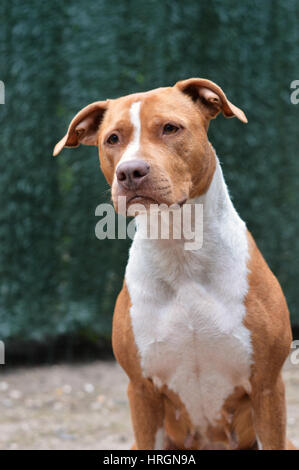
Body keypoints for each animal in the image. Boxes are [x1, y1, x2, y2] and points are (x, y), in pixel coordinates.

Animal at [54, 79, 296, 450]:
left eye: (170, 128)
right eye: (113, 138)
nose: (130, 171)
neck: (181, 250)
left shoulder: (267, 387)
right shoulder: (142, 392)